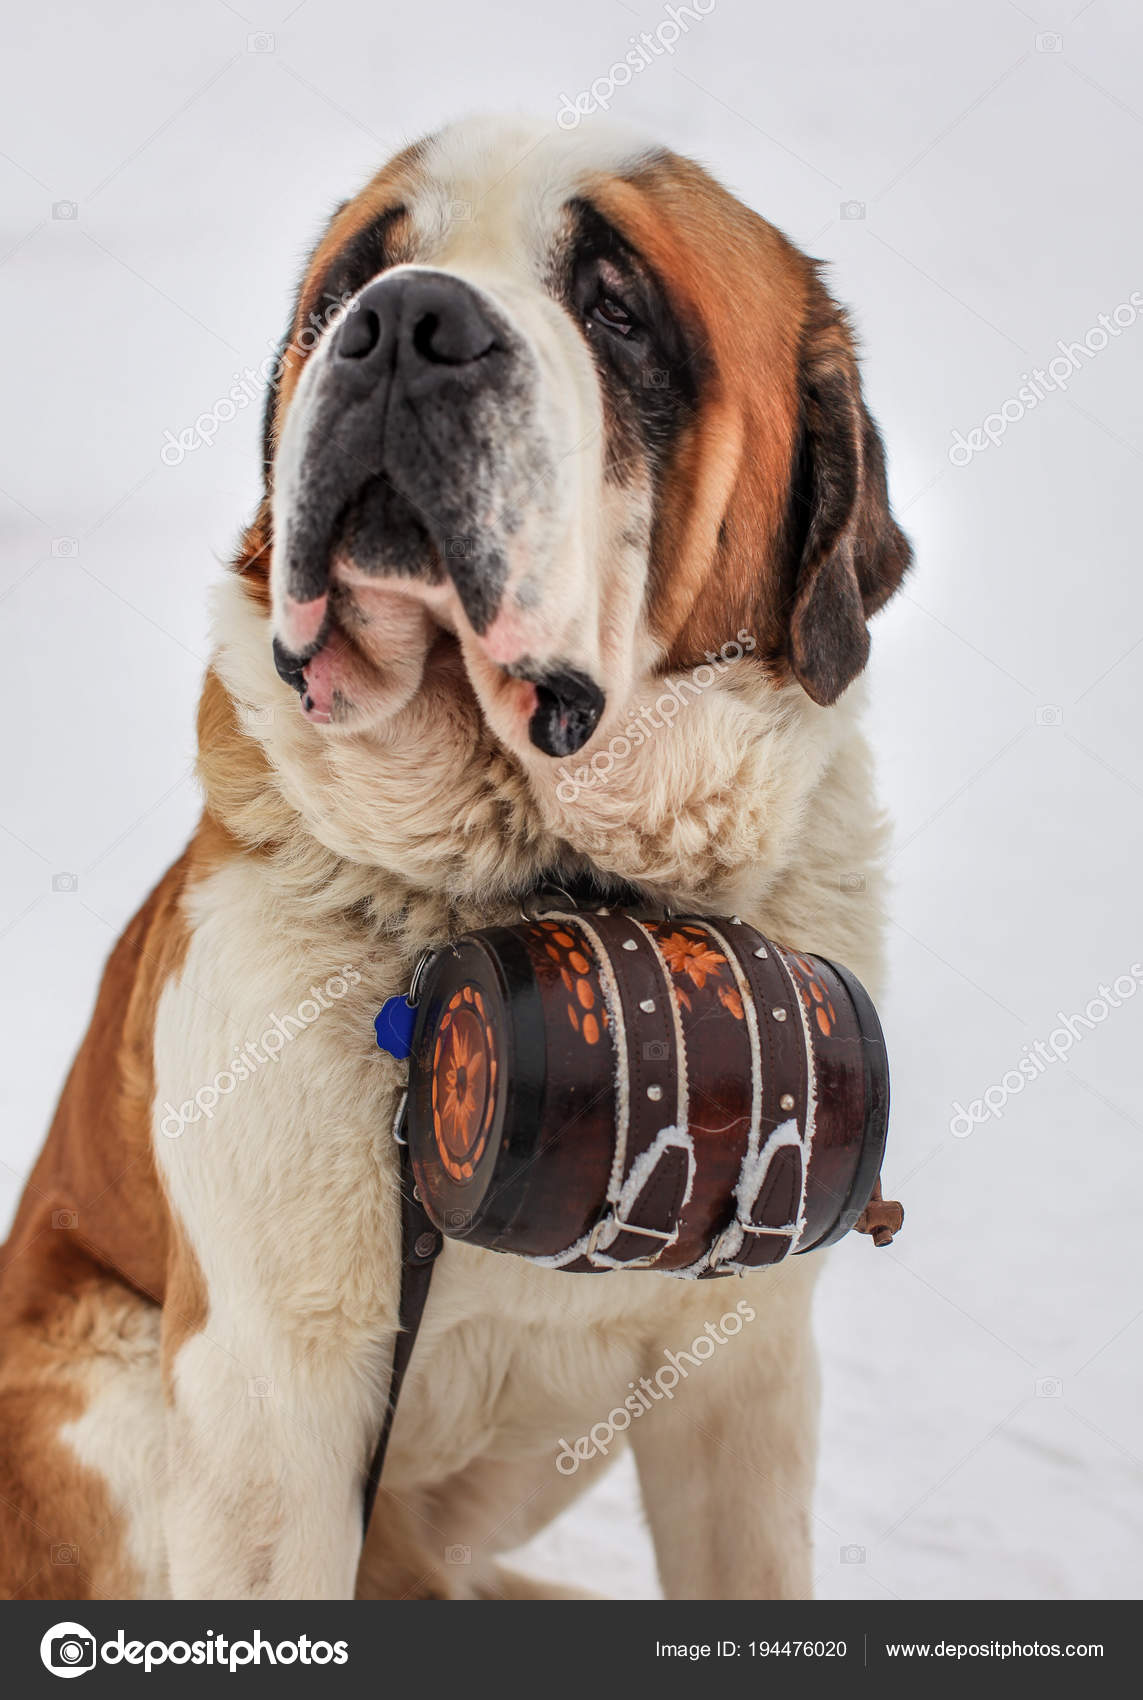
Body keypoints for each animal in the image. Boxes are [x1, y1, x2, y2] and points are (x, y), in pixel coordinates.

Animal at [2, 113, 911, 1598]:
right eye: (347, 289)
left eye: (616, 308)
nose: (403, 324)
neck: (543, 877)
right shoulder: (269, 1407)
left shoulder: (748, 1385)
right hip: (112, 1400)